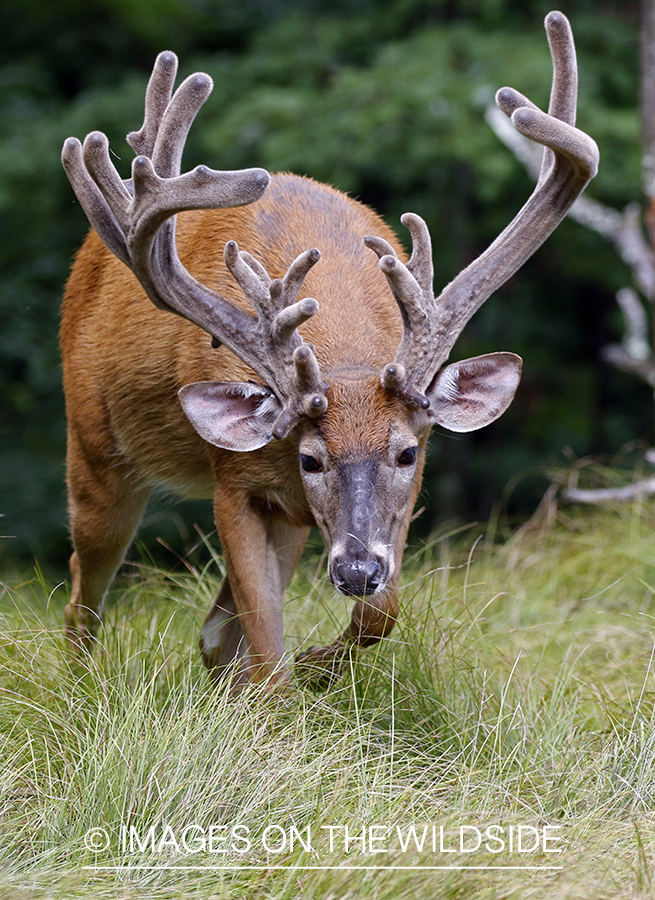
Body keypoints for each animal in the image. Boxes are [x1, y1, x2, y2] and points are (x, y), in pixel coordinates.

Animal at [60, 10, 600, 688]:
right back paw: (82, 685)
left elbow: (379, 613)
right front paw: (289, 687)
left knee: (211, 631)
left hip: (289, 521)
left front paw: (319, 660)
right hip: (95, 447)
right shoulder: (234, 480)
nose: (356, 571)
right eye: (311, 459)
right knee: (84, 591)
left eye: (404, 453)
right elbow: (266, 645)